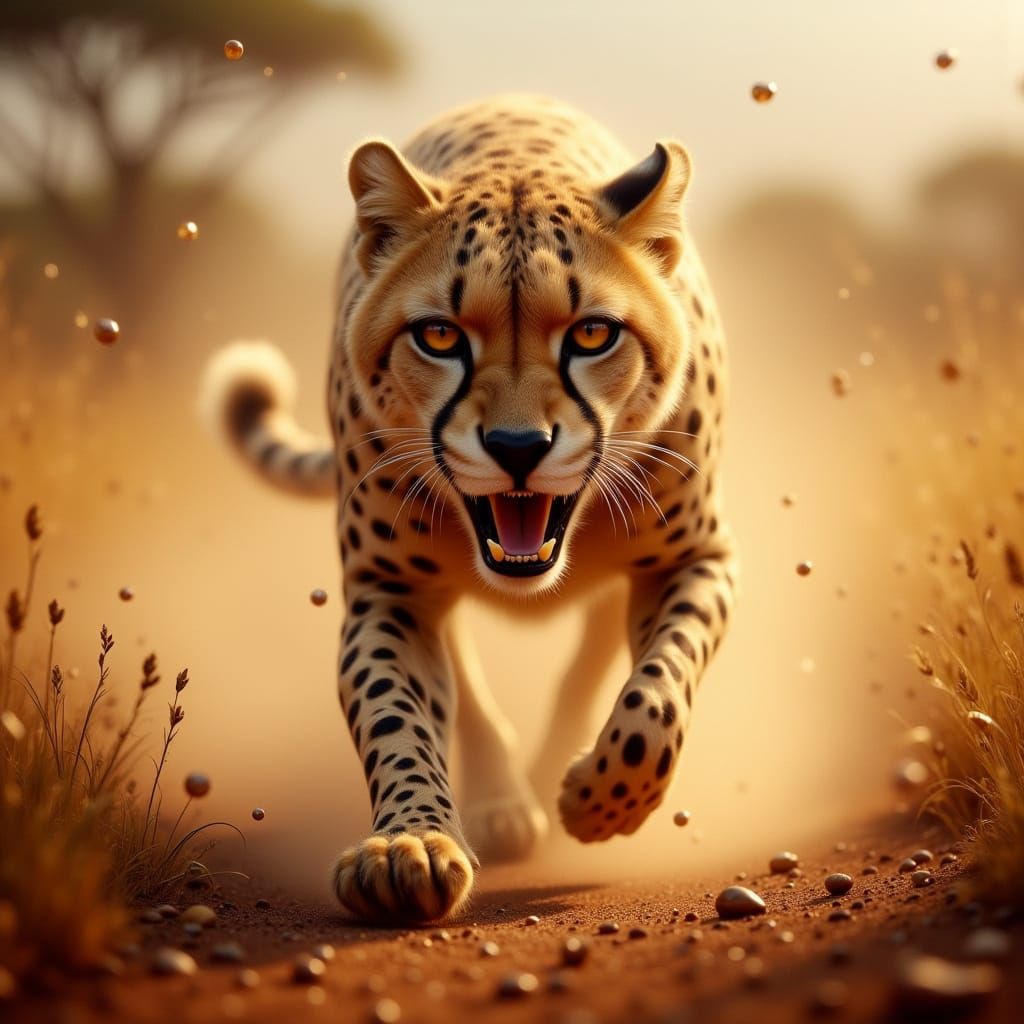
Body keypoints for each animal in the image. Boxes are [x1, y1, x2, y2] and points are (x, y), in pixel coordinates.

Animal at [202, 94, 738, 924]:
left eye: (592, 333)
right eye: (439, 336)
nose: (518, 446)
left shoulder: (697, 557)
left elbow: (658, 690)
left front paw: (602, 801)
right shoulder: (392, 589)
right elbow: (394, 710)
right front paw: (409, 846)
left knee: (589, 658)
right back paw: (503, 802)